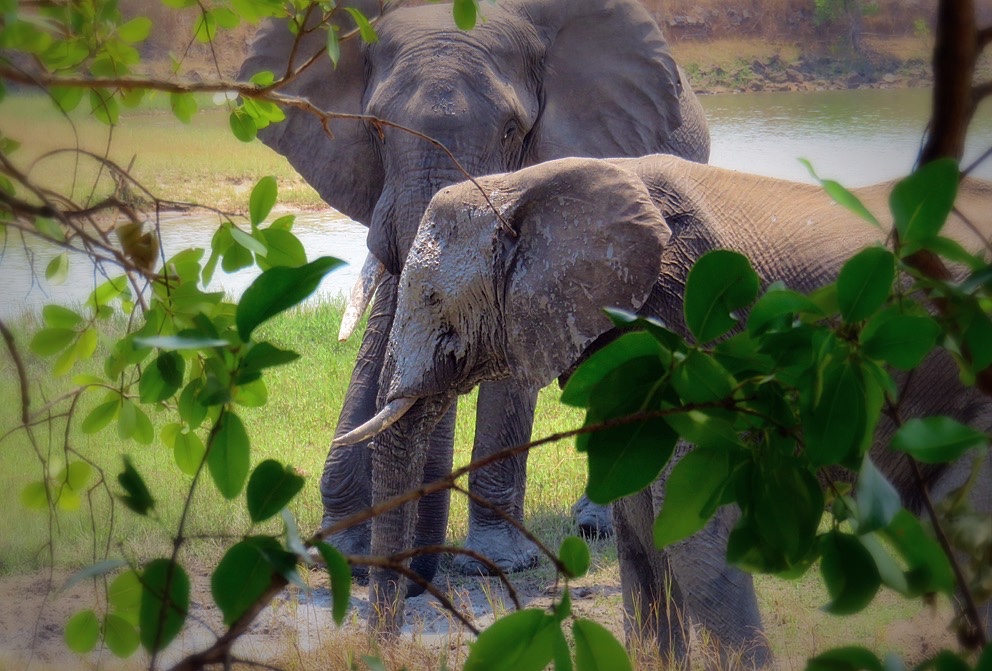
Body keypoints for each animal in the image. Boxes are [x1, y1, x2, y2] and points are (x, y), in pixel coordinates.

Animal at [239, 0, 710, 584]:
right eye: (375, 129)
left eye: (512, 131)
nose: (408, 570)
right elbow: (384, 327)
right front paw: (344, 551)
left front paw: (495, 563)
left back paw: (593, 526)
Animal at [335, 154, 992, 657]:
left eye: (430, 296)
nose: (384, 650)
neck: (527, 183)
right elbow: (639, 522)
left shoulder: (694, 326)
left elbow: (687, 525)